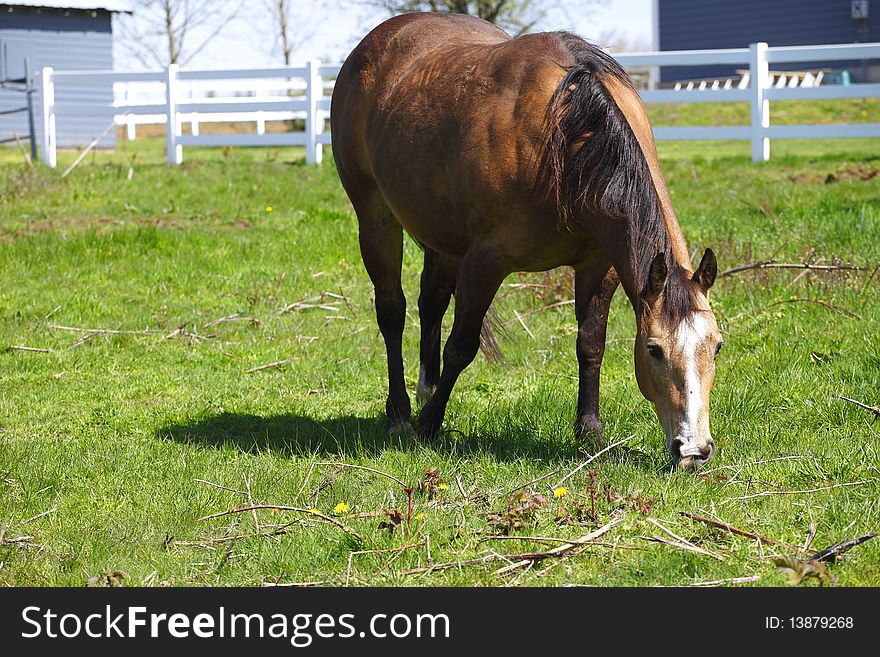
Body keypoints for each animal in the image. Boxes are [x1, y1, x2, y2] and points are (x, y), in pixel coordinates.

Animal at [330, 12, 720, 468]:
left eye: (716, 346)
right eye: (655, 349)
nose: (693, 450)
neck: (567, 140)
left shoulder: (600, 265)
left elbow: (591, 344)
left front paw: (589, 431)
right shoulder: (485, 262)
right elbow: (461, 346)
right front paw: (429, 424)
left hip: (441, 237)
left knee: (431, 301)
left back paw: (426, 387)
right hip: (375, 217)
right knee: (392, 310)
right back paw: (400, 413)